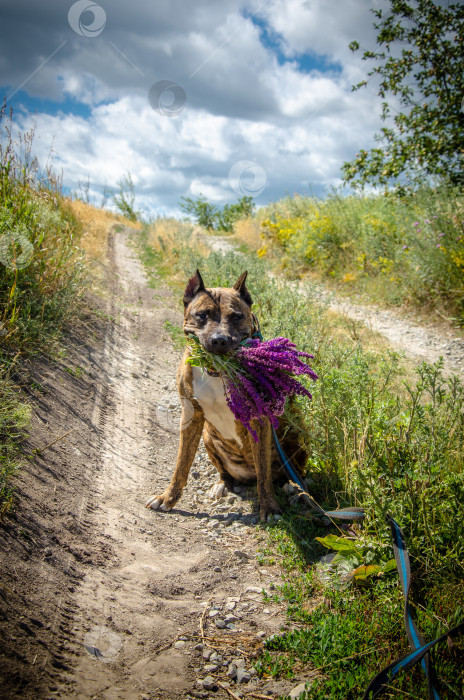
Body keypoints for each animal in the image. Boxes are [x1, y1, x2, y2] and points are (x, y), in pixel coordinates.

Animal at [144, 268, 304, 520]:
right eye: (202, 315)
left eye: (236, 316)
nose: (219, 340)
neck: (217, 372)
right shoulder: (191, 416)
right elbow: (181, 464)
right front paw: (168, 498)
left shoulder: (260, 420)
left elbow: (264, 473)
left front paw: (269, 507)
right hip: (209, 438)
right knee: (226, 473)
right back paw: (222, 485)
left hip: (296, 438)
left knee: (288, 472)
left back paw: (294, 488)